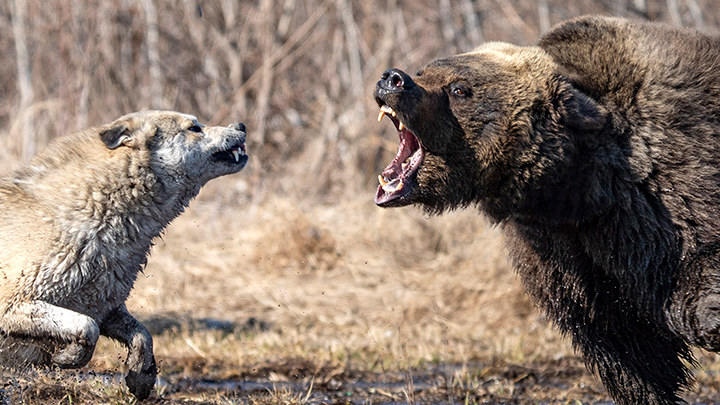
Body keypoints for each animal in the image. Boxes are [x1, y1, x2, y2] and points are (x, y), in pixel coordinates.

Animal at [374, 15, 720, 404]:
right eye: (426, 70)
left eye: (459, 88)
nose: (393, 78)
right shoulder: (563, 253)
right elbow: (626, 349)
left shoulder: (669, 187)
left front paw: (705, 315)